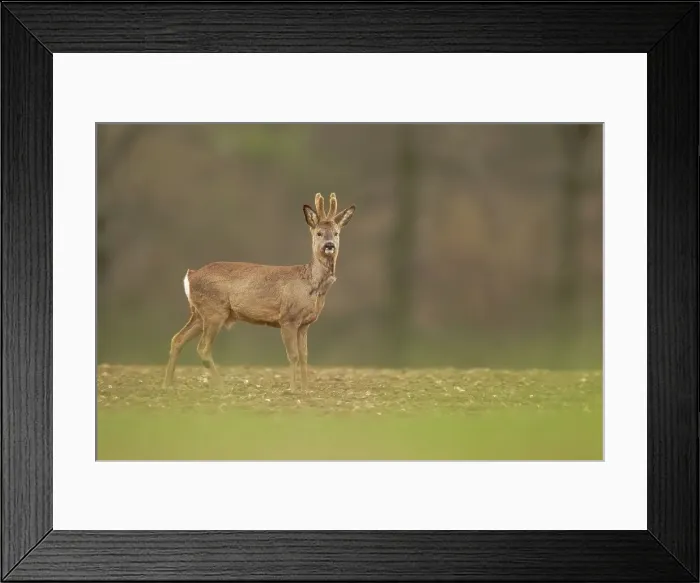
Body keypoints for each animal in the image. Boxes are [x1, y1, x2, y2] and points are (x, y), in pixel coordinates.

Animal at [162, 192, 355, 392]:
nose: (329, 245)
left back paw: (167, 385)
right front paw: (293, 389)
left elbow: (304, 357)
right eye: (319, 233)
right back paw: (221, 386)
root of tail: (191, 275)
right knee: (203, 348)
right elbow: (293, 356)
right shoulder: (288, 318)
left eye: (336, 233)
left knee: (177, 339)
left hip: (199, 313)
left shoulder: (305, 324)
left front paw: (306, 389)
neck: (311, 285)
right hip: (214, 311)